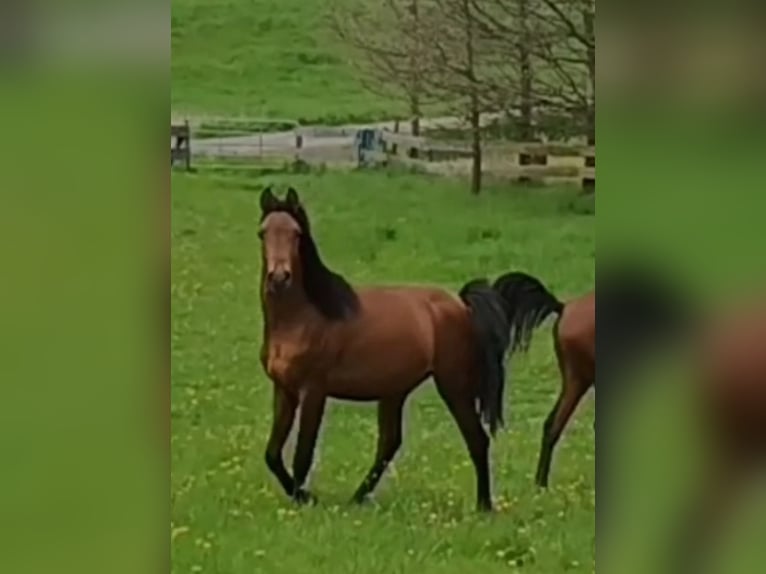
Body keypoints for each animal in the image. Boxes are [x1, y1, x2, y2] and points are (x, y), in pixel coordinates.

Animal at [257, 186, 513, 511]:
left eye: (296, 233)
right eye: (263, 232)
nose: (279, 277)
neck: (304, 317)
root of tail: (460, 304)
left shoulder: (313, 391)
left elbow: (303, 453)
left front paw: (304, 498)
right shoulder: (284, 389)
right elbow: (272, 453)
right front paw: (303, 495)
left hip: (453, 385)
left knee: (477, 439)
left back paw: (484, 506)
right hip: (394, 391)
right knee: (389, 443)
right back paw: (358, 497)